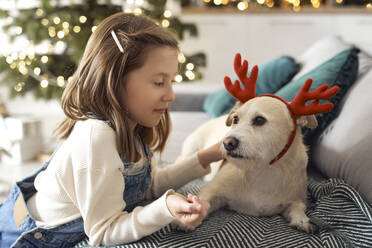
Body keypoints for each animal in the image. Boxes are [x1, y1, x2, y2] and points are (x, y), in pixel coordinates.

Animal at [173, 53, 338, 233]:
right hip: (190, 150)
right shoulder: (213, 190)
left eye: (259, 120)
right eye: (235, 119)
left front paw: (302, 220)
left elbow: (298, 206)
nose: (227, 143)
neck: (262, 169)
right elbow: (203, 201)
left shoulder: (297, 197)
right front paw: (187, 219)